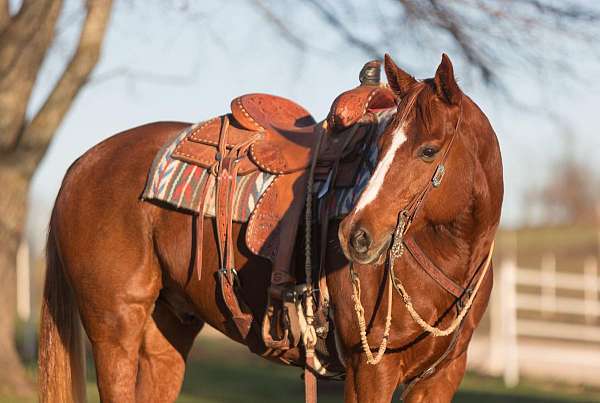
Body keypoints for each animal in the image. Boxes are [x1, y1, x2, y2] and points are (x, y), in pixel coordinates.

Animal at [38, 54, 502, 403]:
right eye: (382, 146)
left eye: (428, 151)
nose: (356, 235)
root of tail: (82, 164)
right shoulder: (370, 372)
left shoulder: (441, 377)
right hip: (115, 328)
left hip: (168, 330)